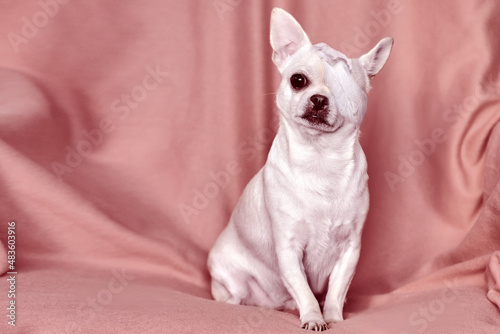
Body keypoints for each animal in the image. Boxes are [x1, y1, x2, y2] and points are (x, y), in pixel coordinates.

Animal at [205, 7, 392, 332]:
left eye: (345, 91)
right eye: (298, 80)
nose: (319, 98)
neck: (320, 159)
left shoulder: (350, 251)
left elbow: (336, 290)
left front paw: (333, 316)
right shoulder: (289, 251)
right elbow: (303, 289)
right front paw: (313, 317)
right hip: (227, 273)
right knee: (235, 294)